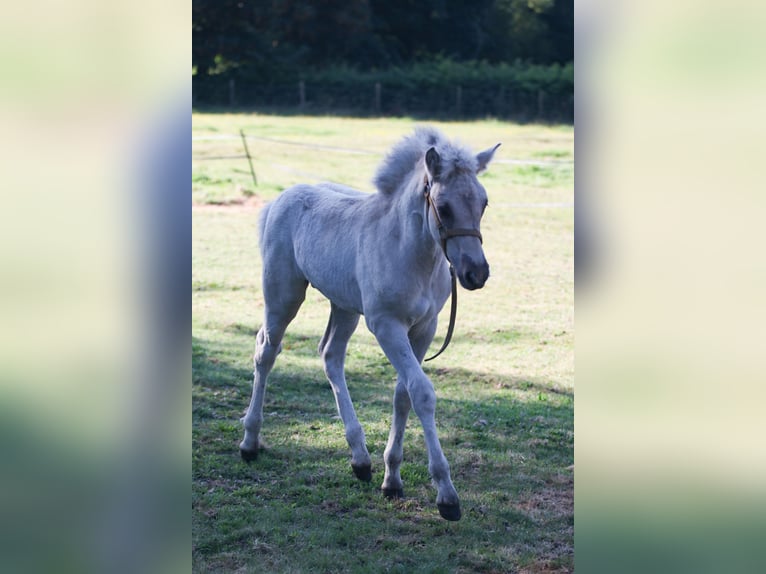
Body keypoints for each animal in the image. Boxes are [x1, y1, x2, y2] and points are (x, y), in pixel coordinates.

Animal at [242, 127, 504, 520]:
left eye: (484, 203)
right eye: (443, 207)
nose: (476, 273)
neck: (410, 253)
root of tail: (279, 199)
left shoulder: (424, 328)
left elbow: (403, 394)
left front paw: (391, 479)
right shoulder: (386, 326)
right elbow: (422, 392)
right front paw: (447, 495)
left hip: (344, 306)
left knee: (330, 355)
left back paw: (360, 459)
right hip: (283, 296)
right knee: (266, 351)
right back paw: (250, 442)